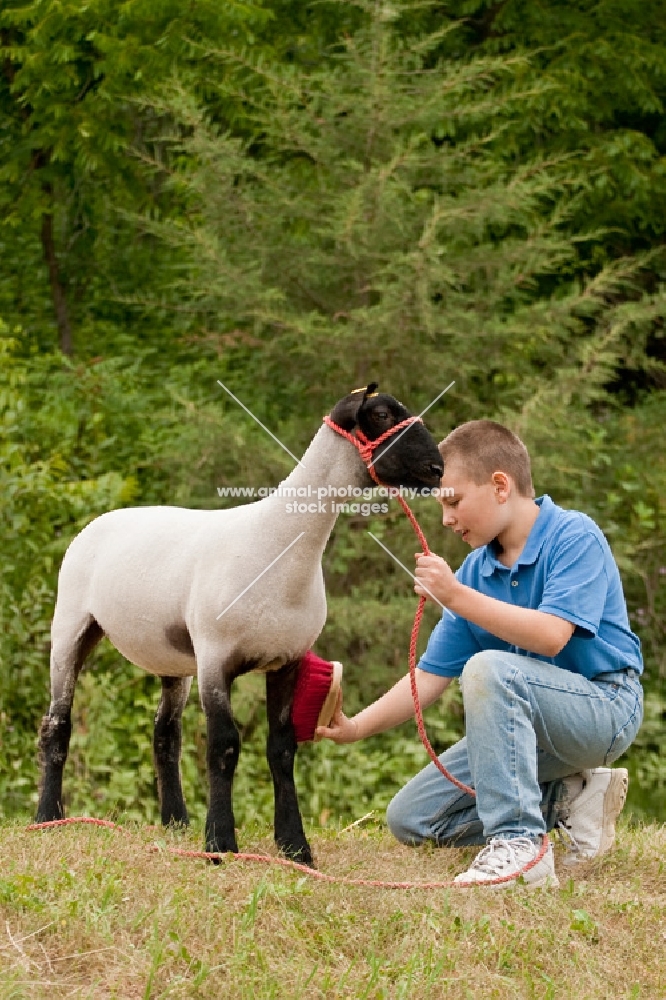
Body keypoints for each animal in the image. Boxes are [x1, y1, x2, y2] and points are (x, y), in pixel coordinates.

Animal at [35, 386, 440, 864]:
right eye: (380, 414)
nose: (437, 469)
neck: (278, 544)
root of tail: (102, 520)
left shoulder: (287, 659)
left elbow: (281, 748)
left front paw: (294, 847)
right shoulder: (215, 657)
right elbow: (223, 746)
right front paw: (220, 843)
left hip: (173, 658)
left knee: (164, 734)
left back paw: (175, 822)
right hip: (71, 624)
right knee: (56, 723)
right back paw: (48, 818)